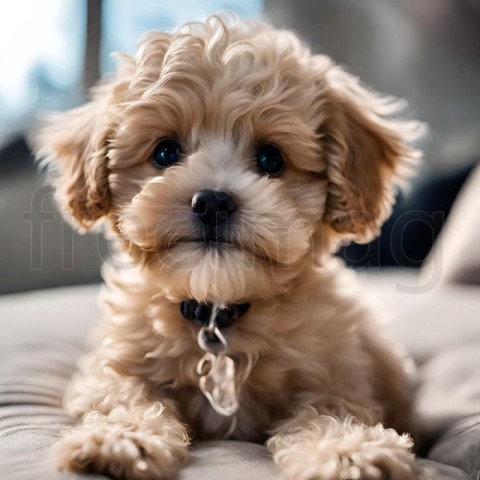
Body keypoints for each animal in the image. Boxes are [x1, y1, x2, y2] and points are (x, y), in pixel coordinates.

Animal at [37, 15, 422, 480]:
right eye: (165, 152)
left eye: (271, 159)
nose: (213, 201)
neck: (218, 310)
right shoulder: (111, 366)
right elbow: (125, 394)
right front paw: (122, 439)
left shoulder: (339, 374)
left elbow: (329, 410)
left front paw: (347, 451)